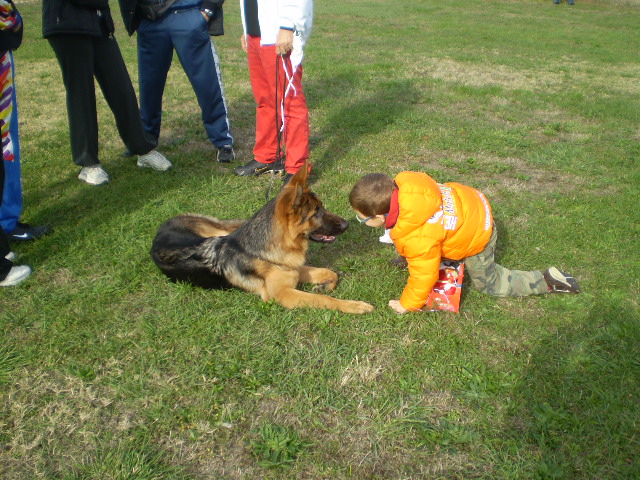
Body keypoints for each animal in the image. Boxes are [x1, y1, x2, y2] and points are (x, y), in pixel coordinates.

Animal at [151, 164, 376, 316]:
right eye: (317, 212)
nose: (347, 224)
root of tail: (158, 232)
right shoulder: (283, 294)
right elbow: (323, 299)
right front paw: (352, 305)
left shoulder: (294, 270)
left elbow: (330, 274)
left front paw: (324, 285)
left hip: (217, 229)